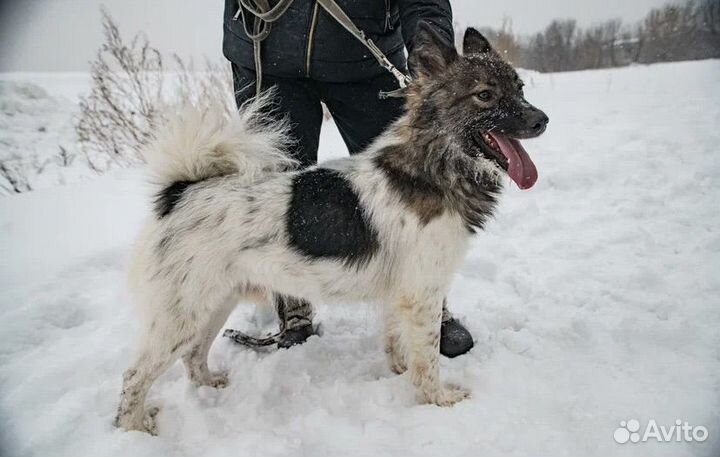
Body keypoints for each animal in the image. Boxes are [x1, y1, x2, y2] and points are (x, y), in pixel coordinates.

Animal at [115, 22, 548, 434]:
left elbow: (398, 345)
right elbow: (427, 358)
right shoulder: (421, 293)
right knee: (134, 376)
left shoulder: (401, 294)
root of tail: (179, 192)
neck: (431, 167)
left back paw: (209, 384)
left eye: (520, 88)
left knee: (192, 355)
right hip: (181, 314)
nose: (542, 120)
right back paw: (135, 427)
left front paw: (398, 376)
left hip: (213, 303)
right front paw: (438, 400)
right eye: (485, 96)